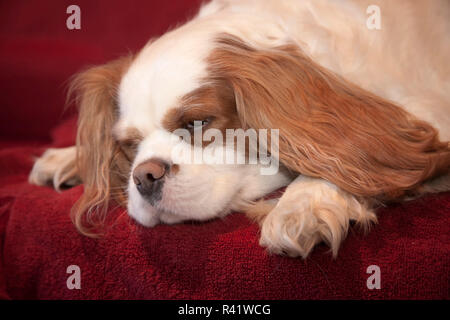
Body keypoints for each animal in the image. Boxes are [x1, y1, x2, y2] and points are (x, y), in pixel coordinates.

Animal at [29, 0, 448, 258]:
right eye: (130, 145)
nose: (144, 176)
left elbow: (350, 157)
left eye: (196, 123)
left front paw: (301, 204)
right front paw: (71, 157)